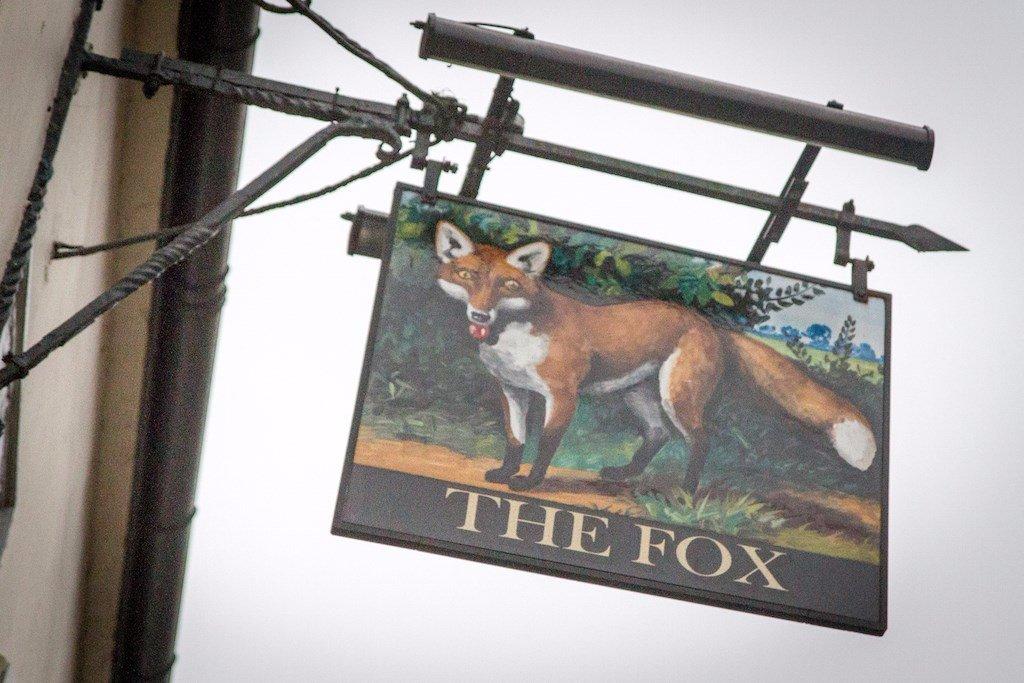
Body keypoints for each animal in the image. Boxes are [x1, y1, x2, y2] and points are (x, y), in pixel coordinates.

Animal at [433, 220, 877, 493]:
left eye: (507, 285)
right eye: (468, 277)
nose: (479, 316)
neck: (513, 339)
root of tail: (706, 323)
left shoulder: (562, 395)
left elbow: (544, 446)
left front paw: (529, 483)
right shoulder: (511, 389)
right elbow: (514, 440)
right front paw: (505, 472)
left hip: (676, 396)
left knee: (701, 440)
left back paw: (685, 493)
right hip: (637, 393)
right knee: (658, 434)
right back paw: (625, 474)